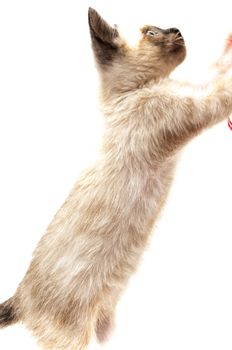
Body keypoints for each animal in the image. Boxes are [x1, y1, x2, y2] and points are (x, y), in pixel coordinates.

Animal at [0, 6, 232, 348]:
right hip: (75, 338)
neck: (131, 94)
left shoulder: (193, 91)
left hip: (108, 328)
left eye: (160, 28)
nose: (177, 29)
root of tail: (20, 297)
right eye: (151, 33)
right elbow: (223, 85)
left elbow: (216, 71)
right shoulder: (198, 104)